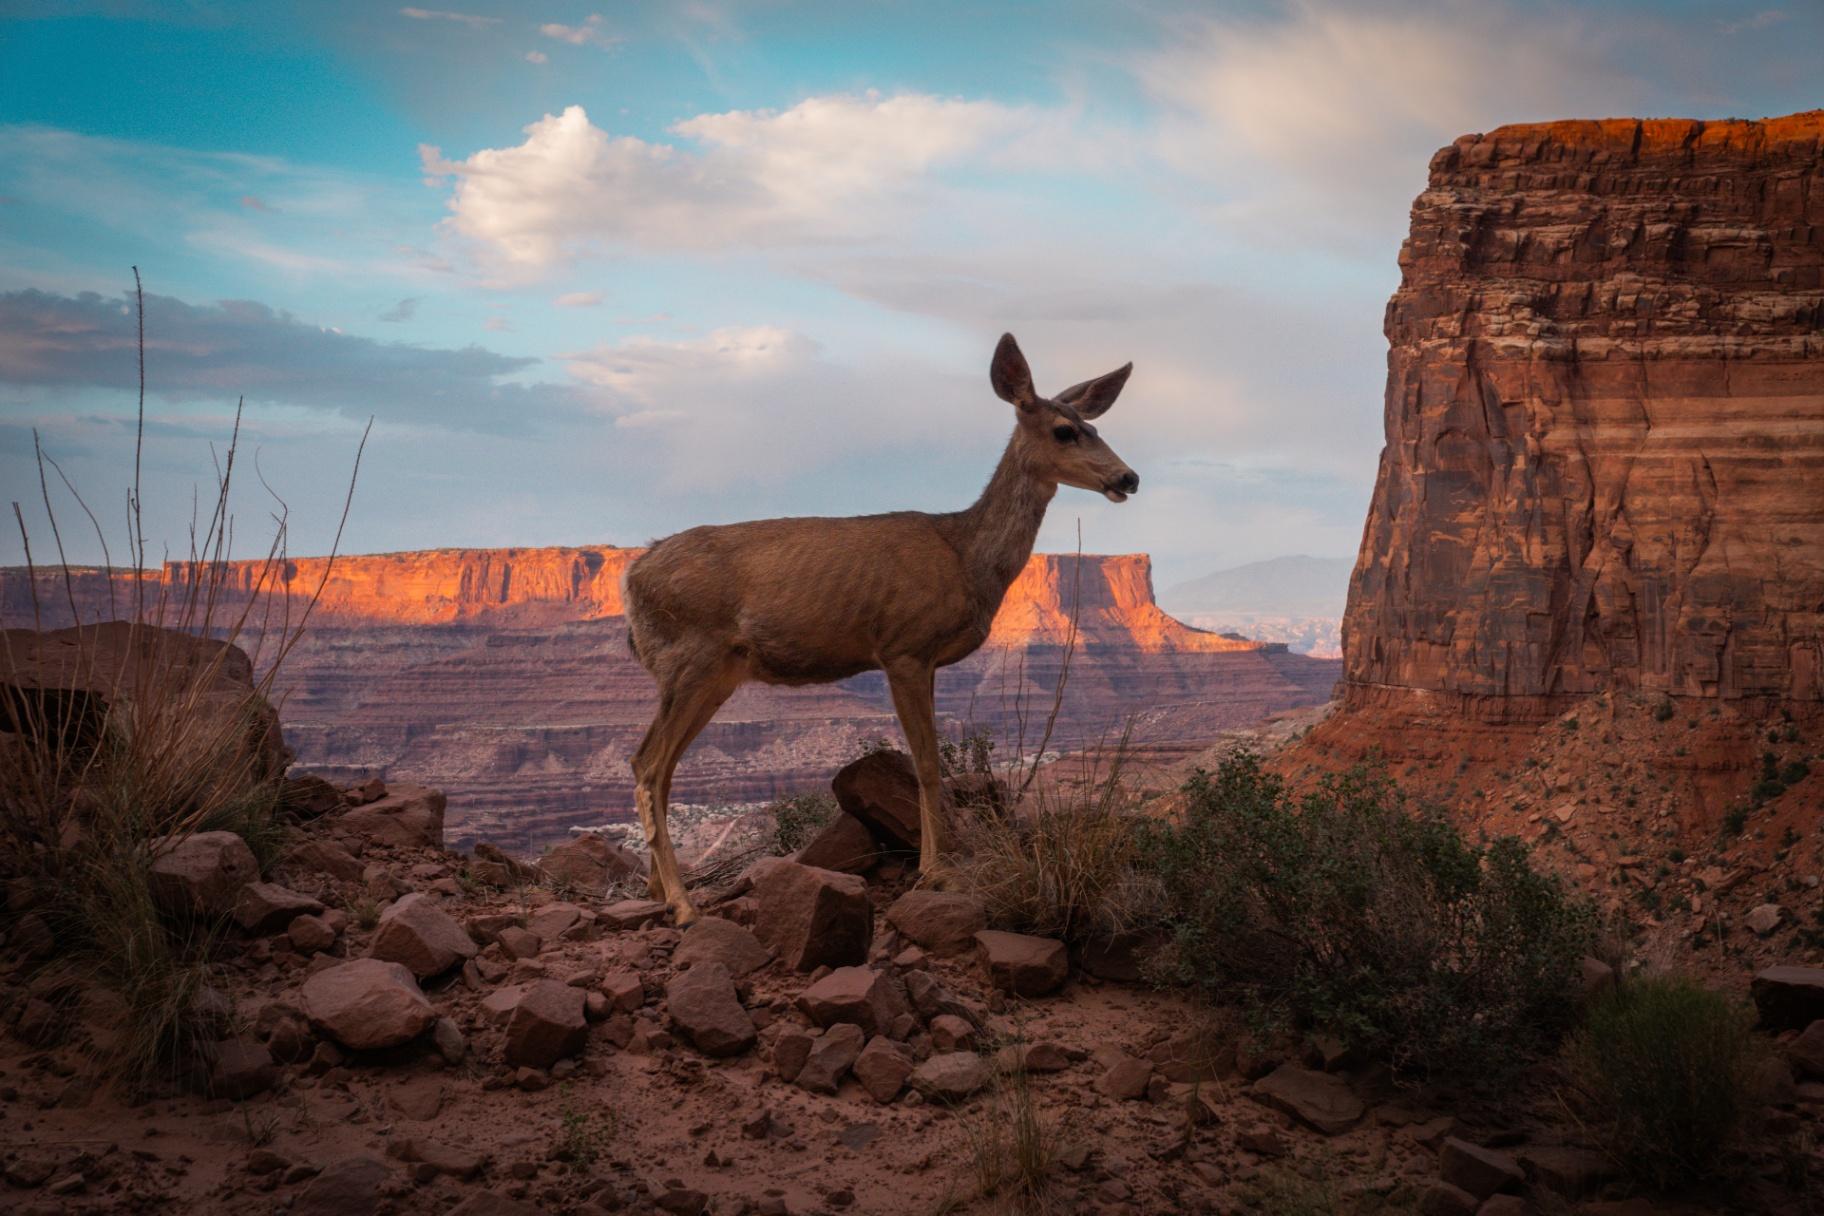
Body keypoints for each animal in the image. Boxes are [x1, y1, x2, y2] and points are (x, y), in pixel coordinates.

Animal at [623, 333, 1138, 924]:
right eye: (1064, 430)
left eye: (1094, 426)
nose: (1129, 477)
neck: (965, 556)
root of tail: (632, 576)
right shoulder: (904, 646)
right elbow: (928, 764)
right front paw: (936, 871)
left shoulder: (927, 659)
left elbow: (927, 762)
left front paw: (936, 864)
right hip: (690, 656)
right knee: (646, 765)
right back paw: (684, 905)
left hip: (716, 674)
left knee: (659, 768)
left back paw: (658, 892)